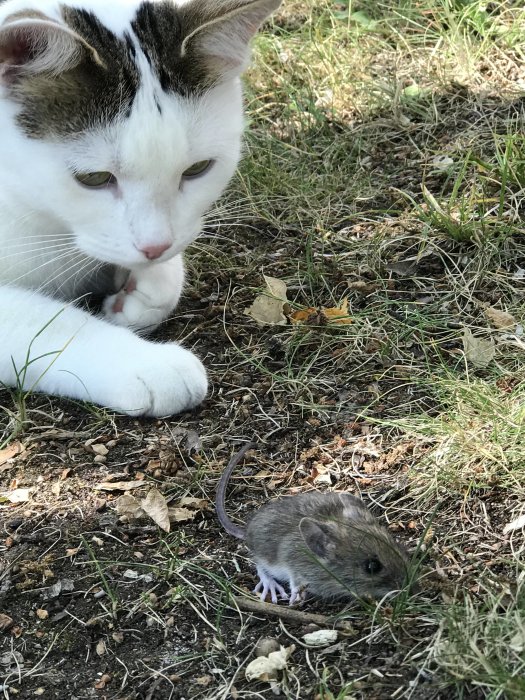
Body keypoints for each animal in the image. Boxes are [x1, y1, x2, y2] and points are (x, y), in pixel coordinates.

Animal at [0, 0, 278, 416]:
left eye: (197, 169)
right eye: (94, 178)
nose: (154, 246)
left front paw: (141, 291)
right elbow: (40, 319)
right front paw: (146, 363)